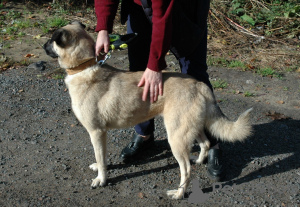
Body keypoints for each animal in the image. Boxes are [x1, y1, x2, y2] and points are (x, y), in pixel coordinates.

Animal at [42, 22, 253, 199]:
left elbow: (100, 158)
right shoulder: (101, 134)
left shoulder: (96, 132)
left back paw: (179, 193)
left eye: (52, 40)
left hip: (176, 137)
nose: (43, 46)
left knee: (186, 170)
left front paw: (101, 179)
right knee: (206, 143)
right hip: (191, 127)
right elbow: (101, 157)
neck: (84, 67)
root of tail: (199, 84)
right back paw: (199, 161)